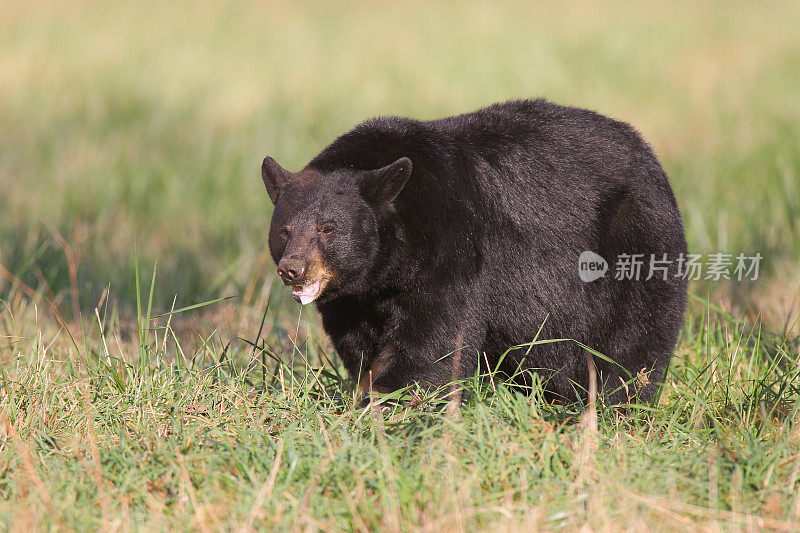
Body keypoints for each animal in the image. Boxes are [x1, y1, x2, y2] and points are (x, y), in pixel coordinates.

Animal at [262, 98, 688, 404]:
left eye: (328, 228)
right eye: (284, 230)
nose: (293, 268)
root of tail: (651, 157)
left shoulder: (453, 246)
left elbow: (434, 336)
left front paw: (391, 396)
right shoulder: (354, 297)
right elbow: (358, 341)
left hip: (634, 238)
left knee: (633, 337)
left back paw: (616, 400)